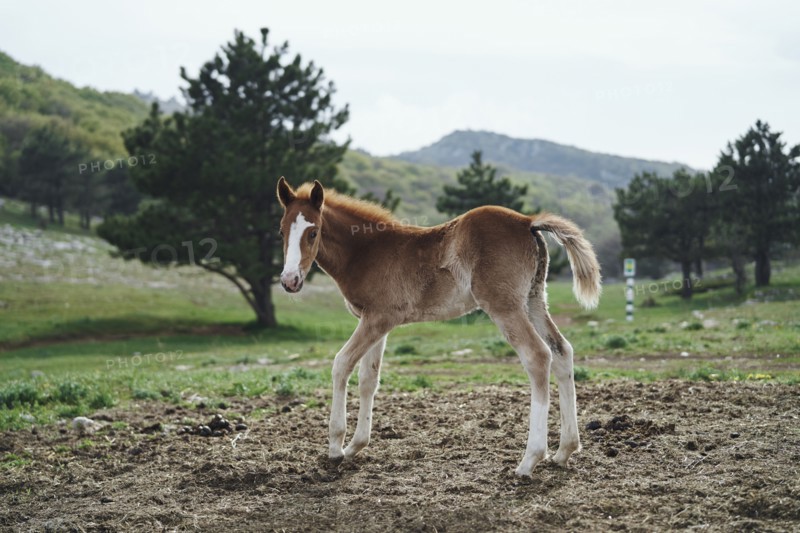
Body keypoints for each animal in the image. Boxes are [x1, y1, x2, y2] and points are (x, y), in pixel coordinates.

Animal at [276, 177, 601, 476]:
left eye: (313, 232)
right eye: (281, 231)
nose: (289, 281)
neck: (367, 251)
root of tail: (527, 222)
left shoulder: (378, 319)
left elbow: (341, 364)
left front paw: (335, 447)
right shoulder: (376, 322)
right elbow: (369, 378)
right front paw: (357, 445)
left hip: (504, 306)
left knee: (538, 356)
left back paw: (528, 461)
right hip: (533, 300)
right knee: (562, 351)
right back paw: (564, 450)